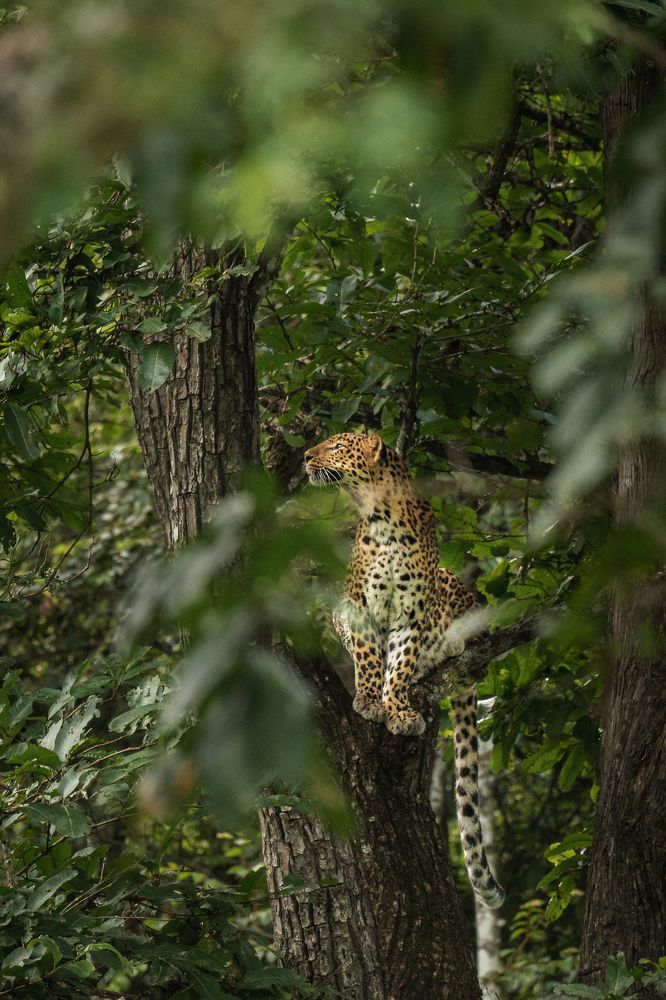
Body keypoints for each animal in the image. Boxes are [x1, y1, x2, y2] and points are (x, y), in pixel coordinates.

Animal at [304, 430, 504, 909]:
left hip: (450, 589)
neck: (382, 519)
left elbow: (401, 661)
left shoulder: (411, 613)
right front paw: (369, 699)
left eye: (336, 446)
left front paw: (396, 707)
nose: (304, 456)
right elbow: (368, 655)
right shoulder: (356, 605)